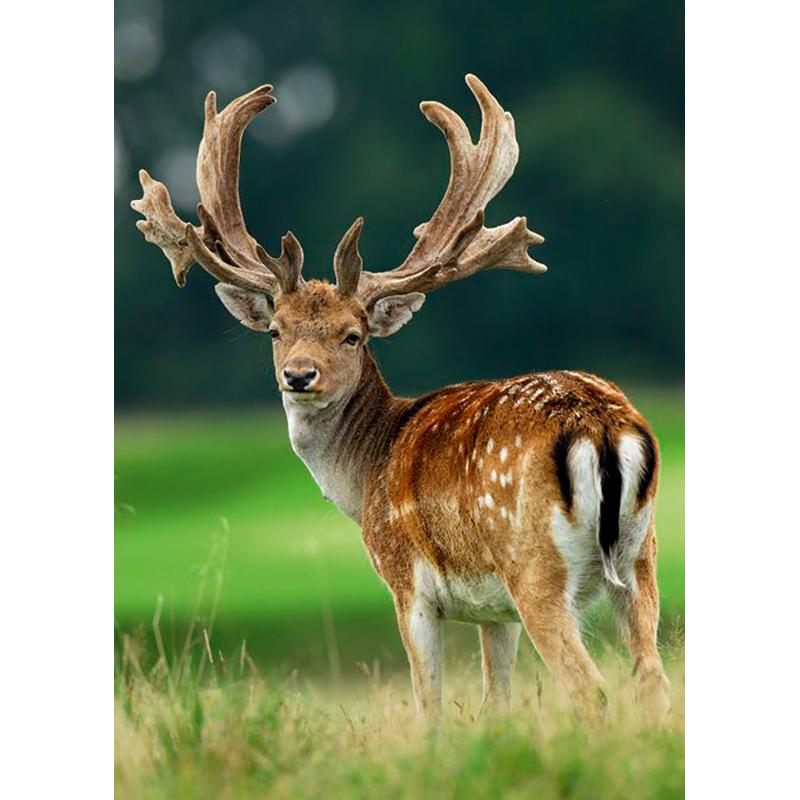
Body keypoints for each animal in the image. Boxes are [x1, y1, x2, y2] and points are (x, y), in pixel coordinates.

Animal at [132, 75, 671, 720]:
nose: (299, 375)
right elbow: (496, 702)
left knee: (591, 688)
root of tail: (602, 428)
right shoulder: (495, 612)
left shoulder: (406, 581)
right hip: (641, 558)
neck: (363, 474)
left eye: (353, 334)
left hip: (535, 565)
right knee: (654, 679)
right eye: (276, 330)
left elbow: (428, 703)